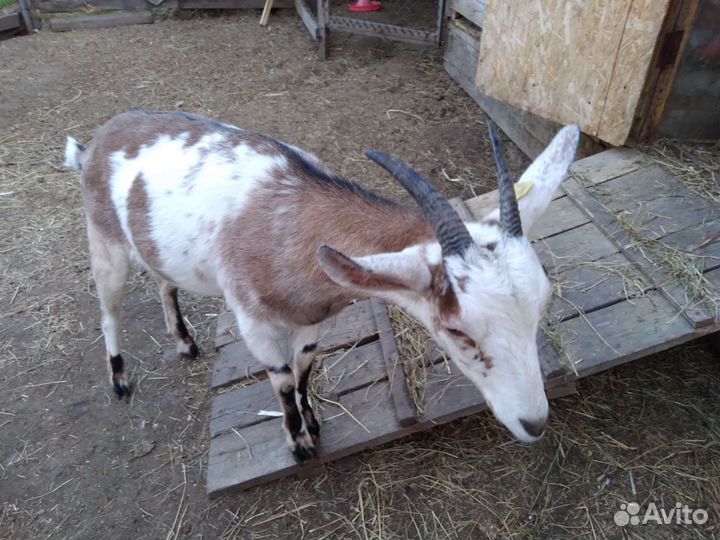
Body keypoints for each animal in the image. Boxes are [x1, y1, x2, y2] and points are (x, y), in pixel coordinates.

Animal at [64, 109, 579, 460]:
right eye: (457, 330)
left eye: (541, 308)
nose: (535, 423)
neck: (286, 219)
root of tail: (95, 142)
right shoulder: (254, 323)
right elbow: (281, 379)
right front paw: (299, 444)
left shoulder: (313, 318)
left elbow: (304, 367)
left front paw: (314, 423)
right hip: (105, 244)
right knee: (108, 310)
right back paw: (119, 380)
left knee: (163, 283)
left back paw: (184, 342)